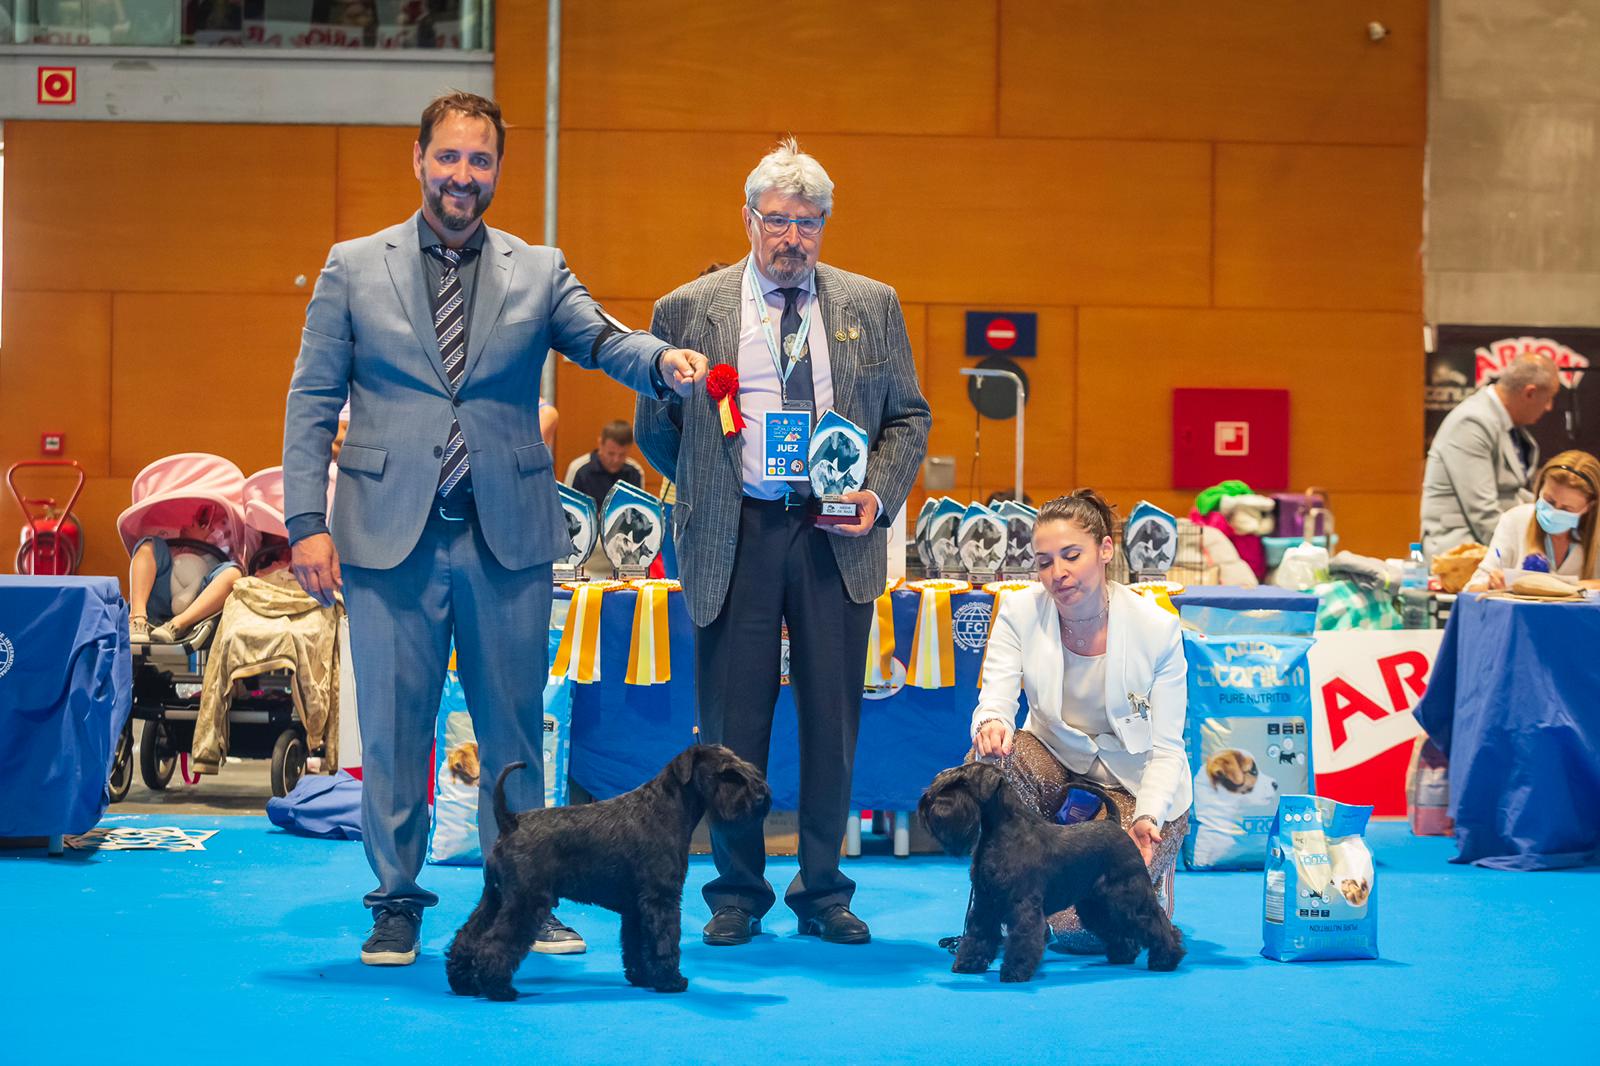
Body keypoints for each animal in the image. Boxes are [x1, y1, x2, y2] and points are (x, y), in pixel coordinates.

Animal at [445, 744, 771, 1001]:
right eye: (727, 773)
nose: (761, 798)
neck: (667, 808)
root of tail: (510, 821)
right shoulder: (661, 899)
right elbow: (664, 941)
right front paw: (670, 980)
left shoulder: (636, 908)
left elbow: (636, 944)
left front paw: (642, 977)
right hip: (525, 902)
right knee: (495, 944)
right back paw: (499, 988)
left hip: (495, 898)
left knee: (466, 938)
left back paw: (463, 982)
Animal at [918, 762, 1184, 983]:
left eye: (962, 783)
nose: (927, 801)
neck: (1002, 832)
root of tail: (1113, 823)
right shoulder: (985, 904)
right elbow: (977, 936)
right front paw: (968, 964)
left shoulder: (1023, 906)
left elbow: (1022, 938)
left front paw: (1014, 971)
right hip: (1096, 904)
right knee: (1116, 927)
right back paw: (1123, 954)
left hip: (1129, 894)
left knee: (1157, 923)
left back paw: (1166, 958)